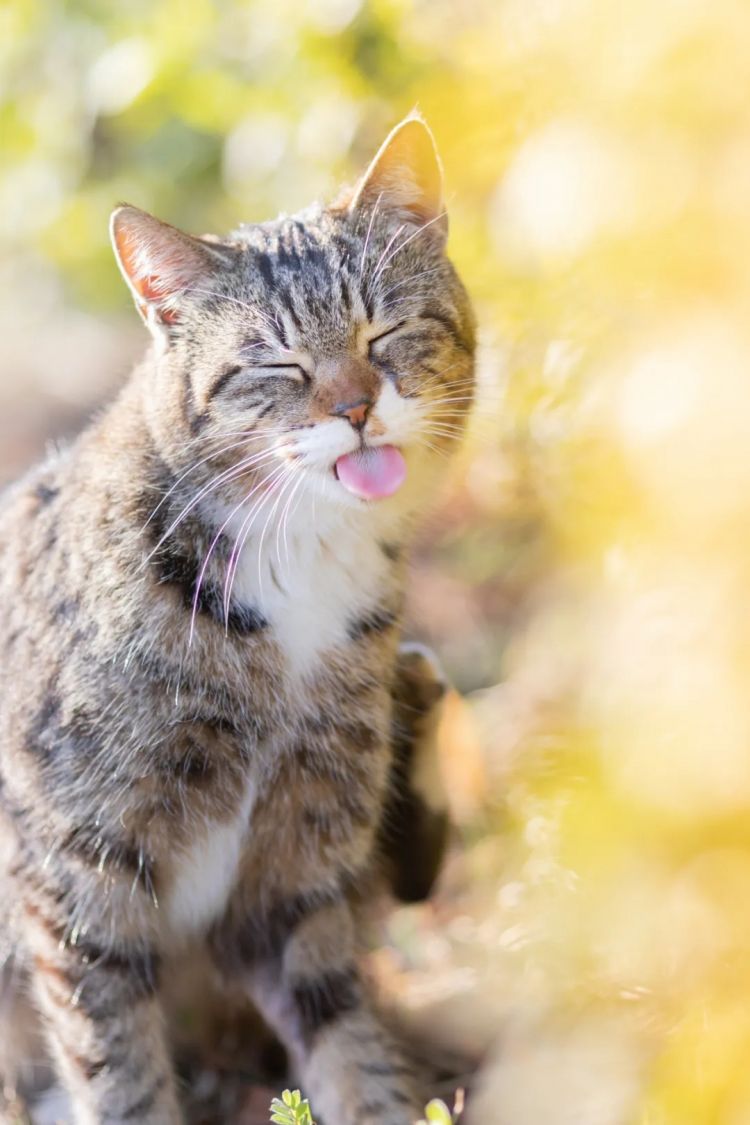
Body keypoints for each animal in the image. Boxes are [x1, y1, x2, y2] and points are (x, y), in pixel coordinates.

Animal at [1, 116, 474, 1125]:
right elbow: (120, 1070)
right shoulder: (80, 876)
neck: (296, 555)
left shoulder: (296, 862)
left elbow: (341, 1030)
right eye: (275, 365)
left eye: (387, 329)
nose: (355, 406)